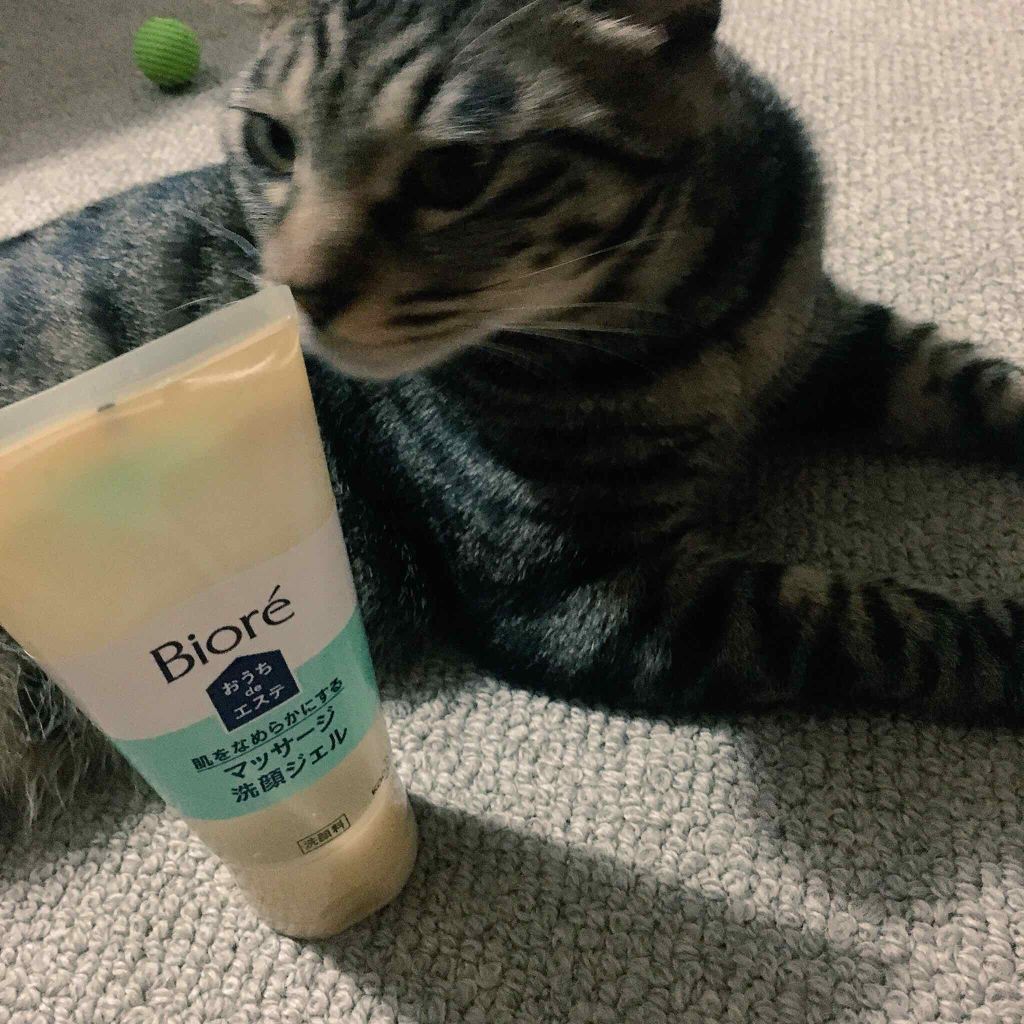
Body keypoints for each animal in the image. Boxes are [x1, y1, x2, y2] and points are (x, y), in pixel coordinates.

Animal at [1, 0, 1022, 830]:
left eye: (457, 173)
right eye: (270, 144)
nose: (293, 289)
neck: (696, 334)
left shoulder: (833, 334)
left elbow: (971, 382)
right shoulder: (580, 594)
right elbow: (865, 618)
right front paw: (1006, 640)